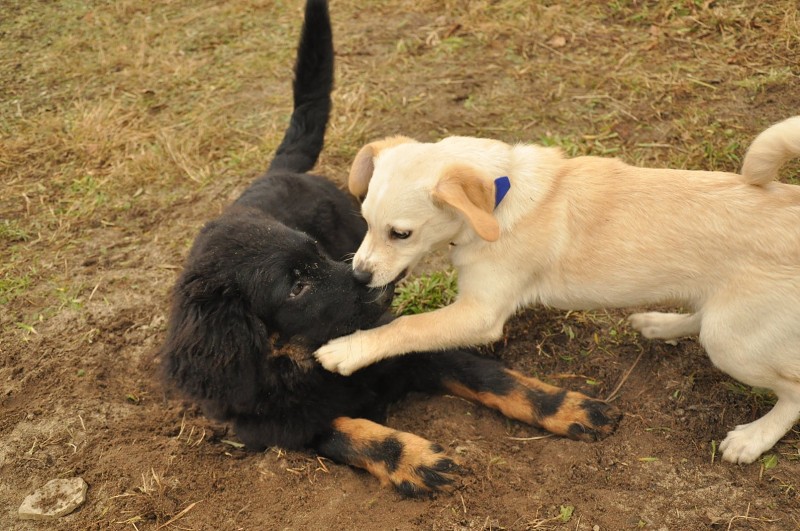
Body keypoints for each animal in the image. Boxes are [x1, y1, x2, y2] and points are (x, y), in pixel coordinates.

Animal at [159, 0, 620, 496]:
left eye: (317, 251)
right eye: (296, 287)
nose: (373, 285)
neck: (304, 361)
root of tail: (275, 171)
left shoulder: (417, 350)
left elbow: (496, 379)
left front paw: (568, 407)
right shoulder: (276, 426)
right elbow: (350, 433)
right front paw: (416, 461)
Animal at [313, 115, 800, 465]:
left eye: (401, 234)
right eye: (365, 221)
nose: (359, 277)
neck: (500, 199)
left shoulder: (480, 314)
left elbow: (407, 327)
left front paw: (349, 349)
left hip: (731, 341)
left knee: (792, 389)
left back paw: (753, 439)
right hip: (728, 318)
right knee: (702, 314)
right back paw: (659, 325)